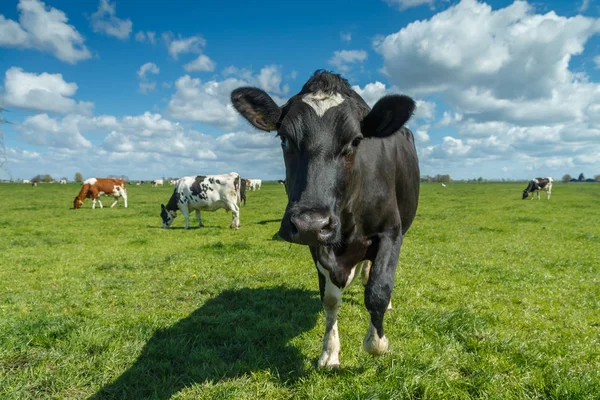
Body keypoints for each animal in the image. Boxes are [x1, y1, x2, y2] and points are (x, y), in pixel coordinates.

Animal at [232, 69, 420, 368]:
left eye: (356, 141)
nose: (311, 223)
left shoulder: (391, 231)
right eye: (284, 139)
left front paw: (377, 342)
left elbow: (378, 291)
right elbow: (330, 300)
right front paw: (330, 351)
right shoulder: (317, 244)